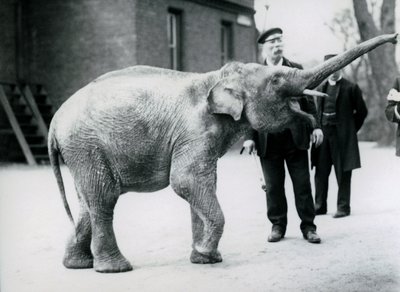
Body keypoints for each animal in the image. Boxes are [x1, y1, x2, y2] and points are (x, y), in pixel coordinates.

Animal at [49, 33, 396, 272]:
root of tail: (54, 121)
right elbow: (186, 182)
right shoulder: (194, 132)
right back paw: (116, 268)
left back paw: (78, 265)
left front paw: (205, 258)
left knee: (87, 202)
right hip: (86, 146)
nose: (395, 37)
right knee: (104, 198)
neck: (217, 76)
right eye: (276, 79)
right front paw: (206, 254)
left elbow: (201, 186)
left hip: (83, 151)